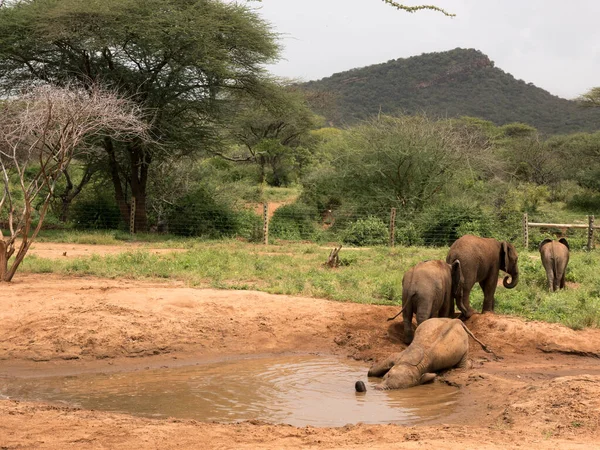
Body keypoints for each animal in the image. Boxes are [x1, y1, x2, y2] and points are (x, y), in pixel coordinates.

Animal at [354, 318, 494, 392]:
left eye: (396, 389)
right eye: (387, 376)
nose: (359, 385)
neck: (413, 365)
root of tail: (457, 321)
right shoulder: (401, 355)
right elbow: (387, 361)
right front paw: (370, 372)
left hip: (464, 347)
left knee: (462, 366)